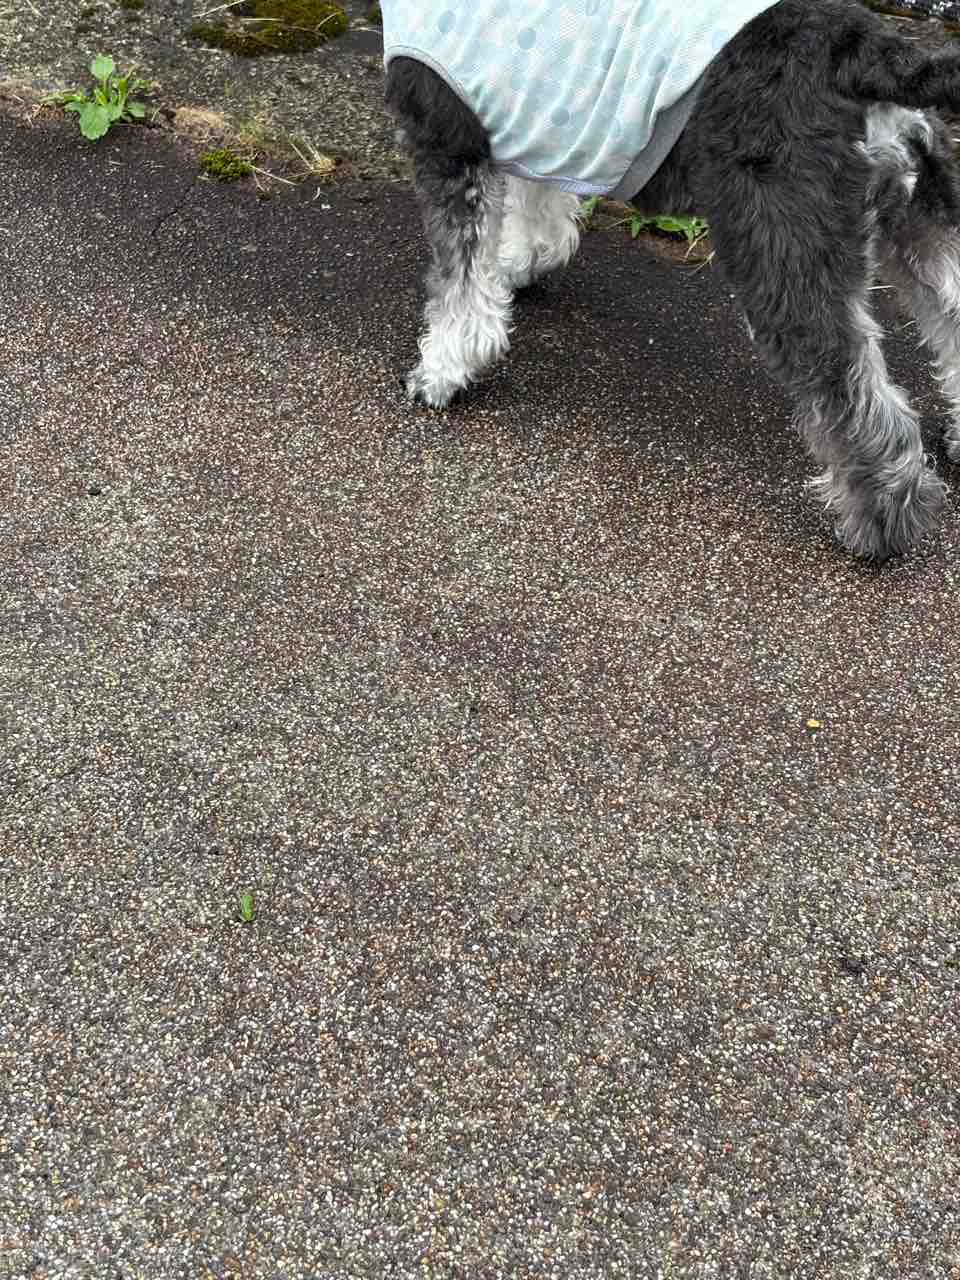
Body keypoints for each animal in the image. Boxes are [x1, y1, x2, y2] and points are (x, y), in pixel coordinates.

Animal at [381, 0, 960, 559]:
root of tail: (865, 49)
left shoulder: (449, 143)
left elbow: (459, 283)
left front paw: (444, 370)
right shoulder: (533, 134)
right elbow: (536, 201)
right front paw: (521, 263)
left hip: (782, 249)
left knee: (847, 386)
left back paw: (880, 523)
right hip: (920, 223)